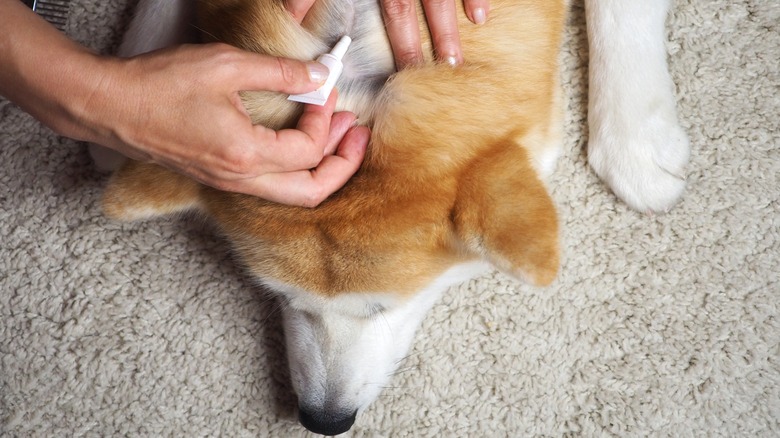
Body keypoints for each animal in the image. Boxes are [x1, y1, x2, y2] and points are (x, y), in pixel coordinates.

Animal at [91, 0, 688, 434]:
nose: (324, 421)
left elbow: (622, 12)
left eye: (383, 308)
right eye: (280, 296)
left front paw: (636, 138)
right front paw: (144, 89)